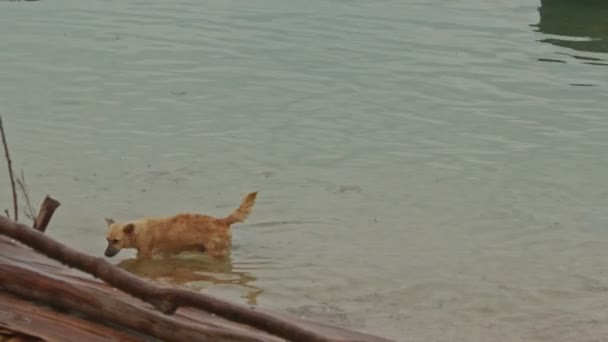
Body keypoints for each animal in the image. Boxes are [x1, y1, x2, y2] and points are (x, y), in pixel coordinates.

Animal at [104, 192, 256, 260]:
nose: (105, 254)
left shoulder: (145, 254)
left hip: (215, 251)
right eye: (107, 239)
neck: (138, 231)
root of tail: (222, 221)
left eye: (116, 240)